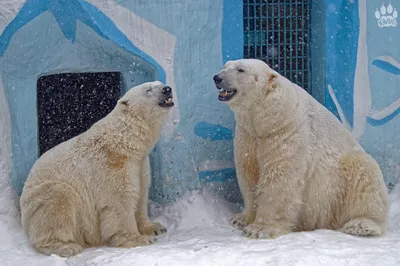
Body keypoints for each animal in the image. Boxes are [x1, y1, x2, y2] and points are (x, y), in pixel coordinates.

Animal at [19, 81, 174, 258]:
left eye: (160, 83)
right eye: (148, 89)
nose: (167, 89)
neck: (124, 141)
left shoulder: (140, 163)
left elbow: (141, 193)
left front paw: (155, 227)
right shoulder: (113, 164)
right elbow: (120, 200)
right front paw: (139, 239)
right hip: (41, 198)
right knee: (58, 201)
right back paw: (66, 247)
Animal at [214, 59, 390, 239]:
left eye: (241, 70)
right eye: (225, 66)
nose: (217, 78)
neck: (269, 119)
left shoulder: (286, 133)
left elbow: (279, 178)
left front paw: (259, 229)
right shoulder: (248, 135)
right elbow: (248, 173)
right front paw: (240, 219)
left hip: (343, 179)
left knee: (364, 174)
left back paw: (361, 224)